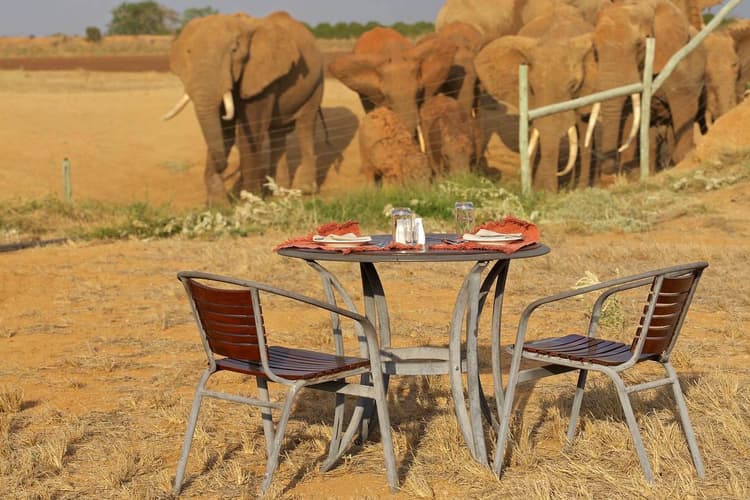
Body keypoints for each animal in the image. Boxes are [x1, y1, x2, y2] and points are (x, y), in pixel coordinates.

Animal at [164, 12, 324, 206]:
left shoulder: (260, 76)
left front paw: (249, 199)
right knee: (277, 132)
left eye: (234, 50)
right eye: (188, 52)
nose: (224, 167)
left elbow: (249, 132)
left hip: (316, 83)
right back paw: (278, 192)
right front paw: (219, 206)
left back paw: (304, 190)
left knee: (305, 126)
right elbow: (224, 132)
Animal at [592, 0, 708, 178]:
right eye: (595, 50)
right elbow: (630, 117)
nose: (607, 168)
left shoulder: (682, 67)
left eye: (639, 44)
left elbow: (683, 108)